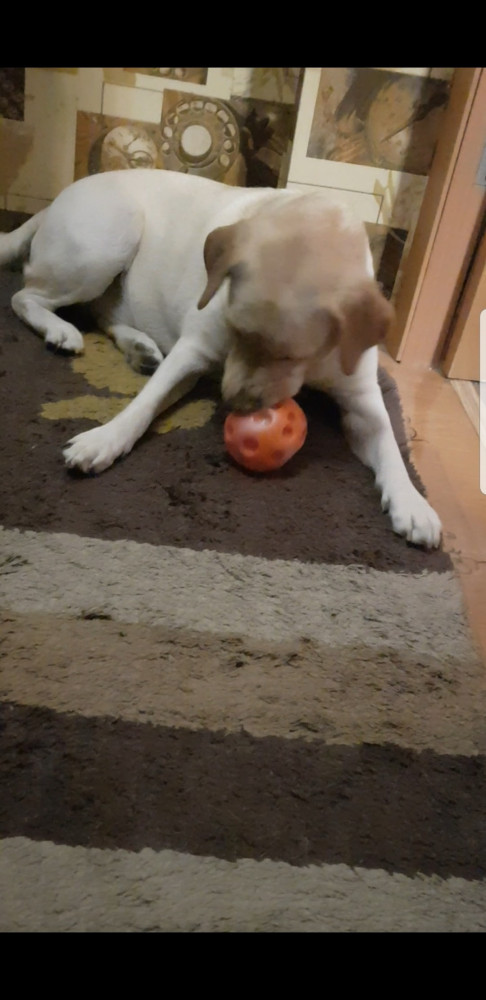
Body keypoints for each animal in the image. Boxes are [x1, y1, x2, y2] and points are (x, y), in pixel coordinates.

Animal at [0, 168, 441, 548]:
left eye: (290, 355)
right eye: (235, 329)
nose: (232, 403)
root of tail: (56, 200)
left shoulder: (362, 395)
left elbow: (389, 441)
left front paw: (412, 502)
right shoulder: (192, 351)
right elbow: (142, 405)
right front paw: (103, 439)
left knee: (101, 313)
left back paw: (139, 347)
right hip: (105, 244)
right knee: (24, 296)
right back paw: (61, 330)